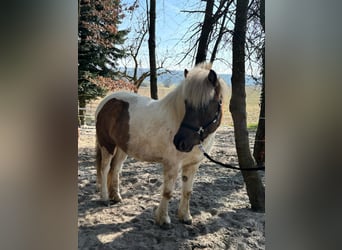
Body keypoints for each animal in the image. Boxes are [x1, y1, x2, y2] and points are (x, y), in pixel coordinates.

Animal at [95, 63, 227, 227]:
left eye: (206, 106)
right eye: (186, 103)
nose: (180, 142)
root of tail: (106, 101)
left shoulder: (192, 165)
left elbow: (187, 192)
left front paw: (185, 217)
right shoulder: (172, 164)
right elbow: (168, 192)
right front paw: (163, 219)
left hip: (122, 148)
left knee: (115, 169)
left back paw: (116, 196)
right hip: (107, 145)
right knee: (105, 168)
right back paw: (105, 198)